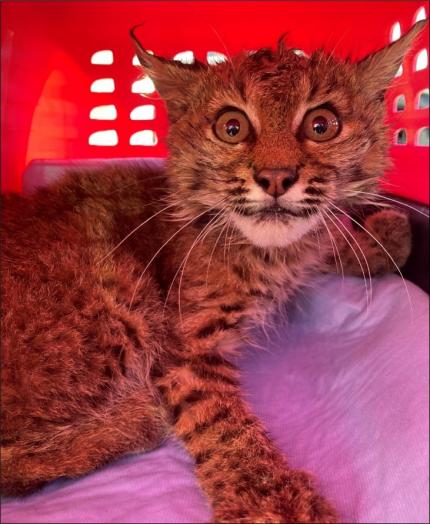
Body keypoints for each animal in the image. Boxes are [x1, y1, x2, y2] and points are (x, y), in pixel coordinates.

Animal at [0, 19, 424, 520]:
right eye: (231, 127)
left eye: (322, 125)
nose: (275, 178)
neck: (259, 250)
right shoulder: (183, 348)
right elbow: (223, 423)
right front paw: (275, 504)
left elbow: (321, 239)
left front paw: (385, 235)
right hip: (117, 291)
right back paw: (135, 419)